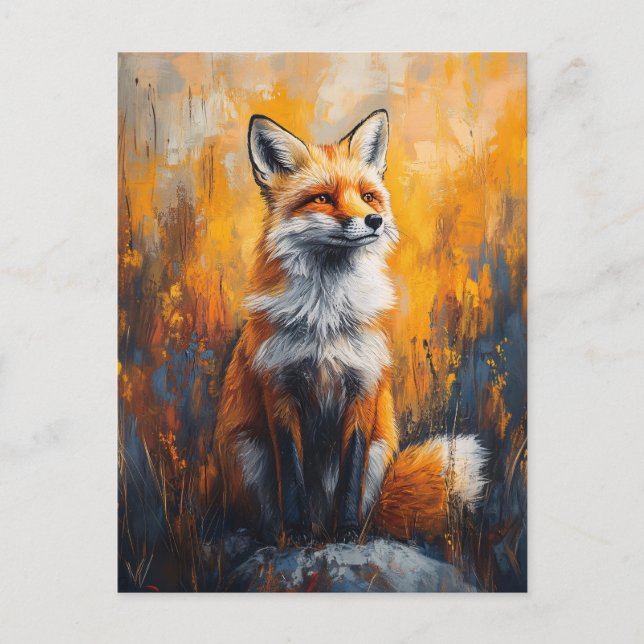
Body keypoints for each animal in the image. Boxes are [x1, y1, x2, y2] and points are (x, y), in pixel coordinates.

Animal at [214, 109, 486, 545]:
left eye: (368, 196)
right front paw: (297, 533)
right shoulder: (279, 388)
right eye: (323, 198)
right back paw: (285, 533)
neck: (326, 316)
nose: (375, 220)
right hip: (249, 452)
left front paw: (347, 531)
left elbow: (350, 475)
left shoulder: (363, 388)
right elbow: (291, 474)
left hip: (379, 451)